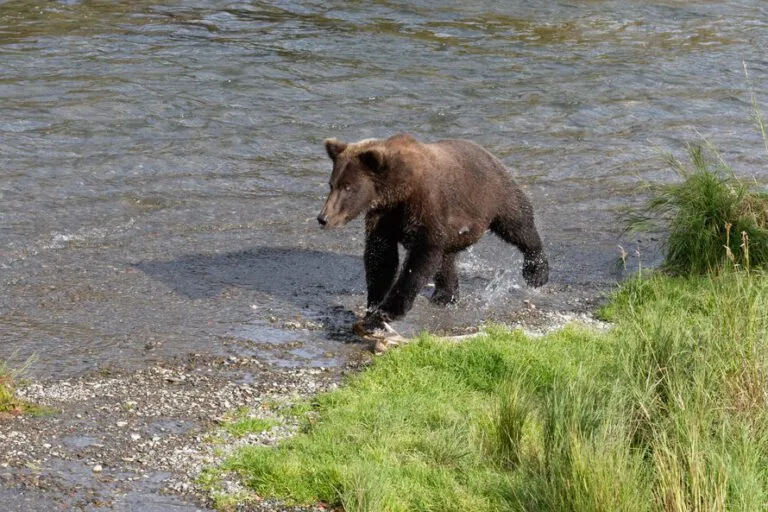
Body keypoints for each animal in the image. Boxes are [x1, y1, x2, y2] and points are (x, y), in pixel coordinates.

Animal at [317, 133, 548, 334]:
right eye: (331, 184)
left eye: (348, 187)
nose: (323, 218)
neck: (399, 191)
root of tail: (487, 152)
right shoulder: (384, 218)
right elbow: (380, 257)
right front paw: (372, 308)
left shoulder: (427, 206)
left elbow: (420, 258)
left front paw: (387, 311)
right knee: (446, 259)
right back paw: (445, 295)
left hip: (494, 194)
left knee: (518, 225)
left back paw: (537, 272)